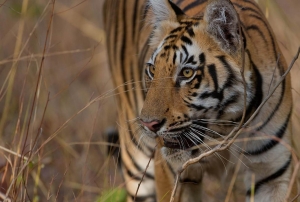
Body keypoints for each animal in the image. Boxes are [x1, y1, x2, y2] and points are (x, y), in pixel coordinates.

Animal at [102, 0, 298, 201]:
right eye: (152, 69)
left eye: (187, 72)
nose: (149, 124)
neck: (226, 126)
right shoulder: (171, 172)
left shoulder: (274, 176)